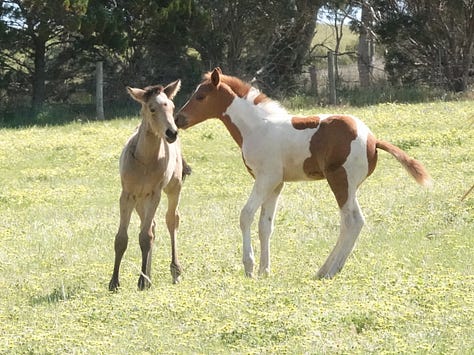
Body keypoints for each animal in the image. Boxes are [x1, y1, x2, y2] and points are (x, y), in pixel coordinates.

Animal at [109, 81, 191, 292]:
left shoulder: (155, 193)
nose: (172, 133)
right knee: (151, 225)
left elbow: (145, 236)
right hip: (140, 199)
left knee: (171, 220)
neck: (145, 160)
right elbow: (121, 238)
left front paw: (141, 281)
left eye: (172, 107)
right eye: (152, 108)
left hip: (173, 188)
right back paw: (149, 274)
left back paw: (173, 271)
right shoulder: (127, 194)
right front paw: (114, 282)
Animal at [175, 68, 434, 280]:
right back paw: (330, 269)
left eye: (200, 96)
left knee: (352, 221)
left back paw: (327, 270)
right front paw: (265, 270)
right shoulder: (276, 184)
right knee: (354, 221)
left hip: (340, 181)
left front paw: (249, 268)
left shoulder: (265, 178)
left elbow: (245, 215)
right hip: (349, 186)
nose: (178, 119)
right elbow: (265, 225)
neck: (257, 127)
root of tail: (373, 140)